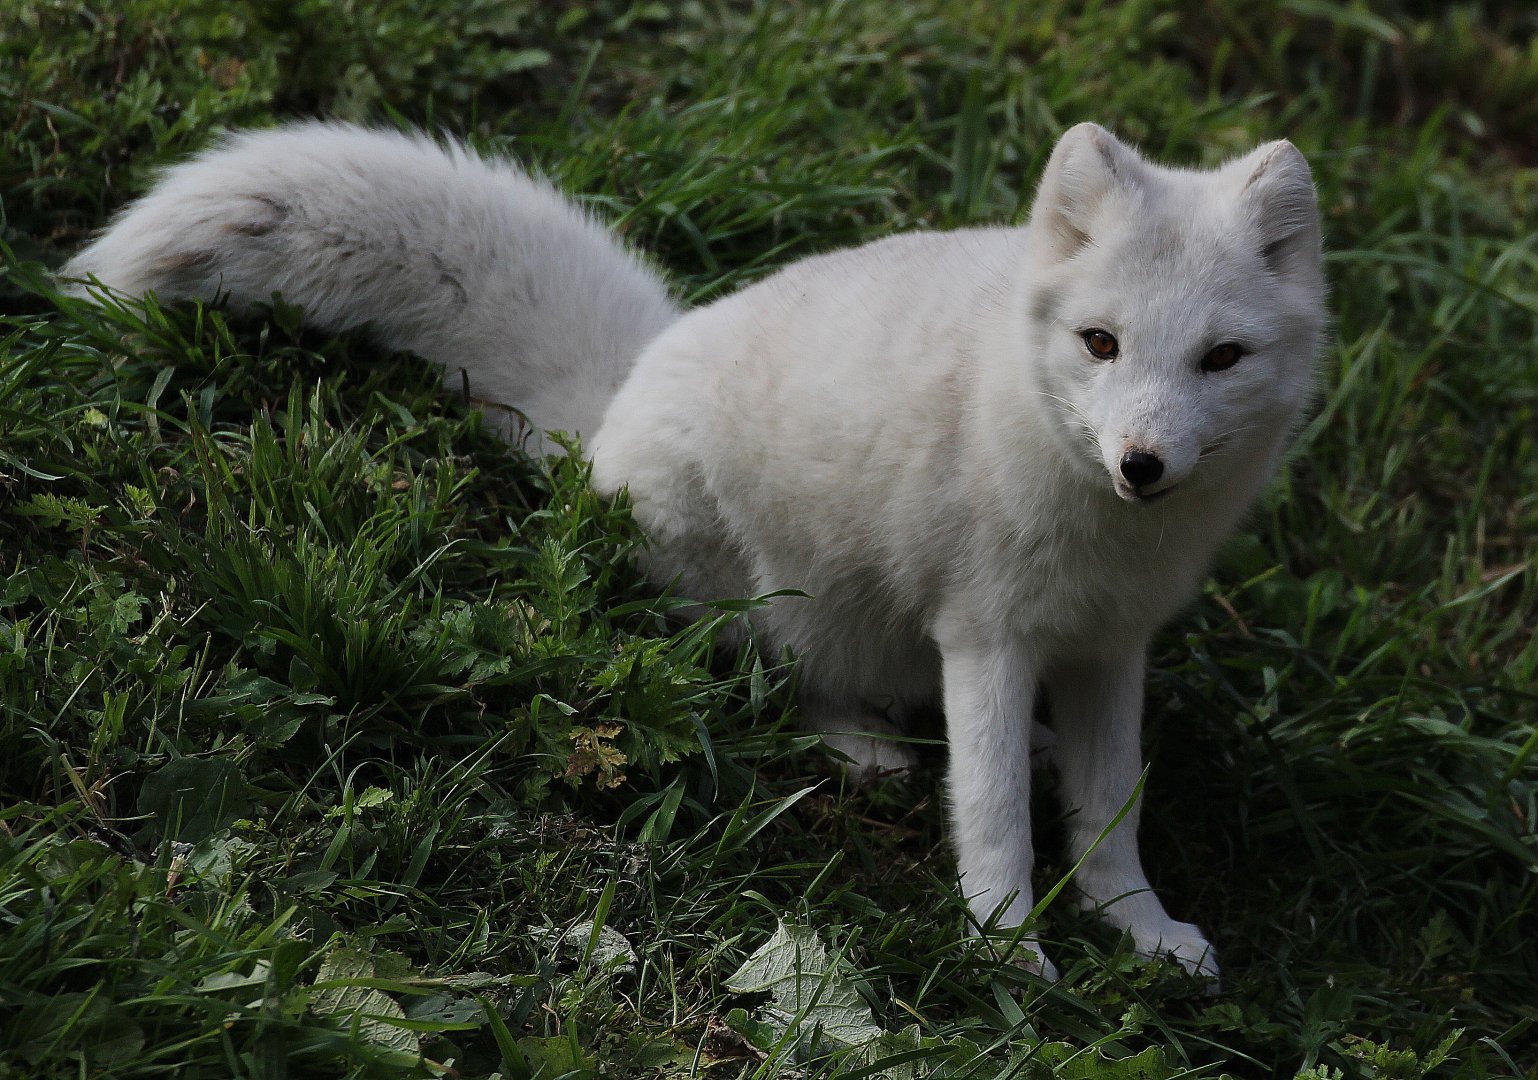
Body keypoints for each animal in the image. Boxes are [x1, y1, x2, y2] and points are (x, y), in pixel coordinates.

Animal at [64, 120, 1326, 982]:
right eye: (1099, 343)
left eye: (1219, 358)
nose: (1140, 463)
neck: (1107, 531)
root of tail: (618, 402)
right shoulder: (985, 637)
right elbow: (992, 815)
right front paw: (1005, 943)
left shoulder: (1112, 645)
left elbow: (1114, 810)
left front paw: (1138, 928)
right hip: (778, 594)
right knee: (793, 683)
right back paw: (865, 748)